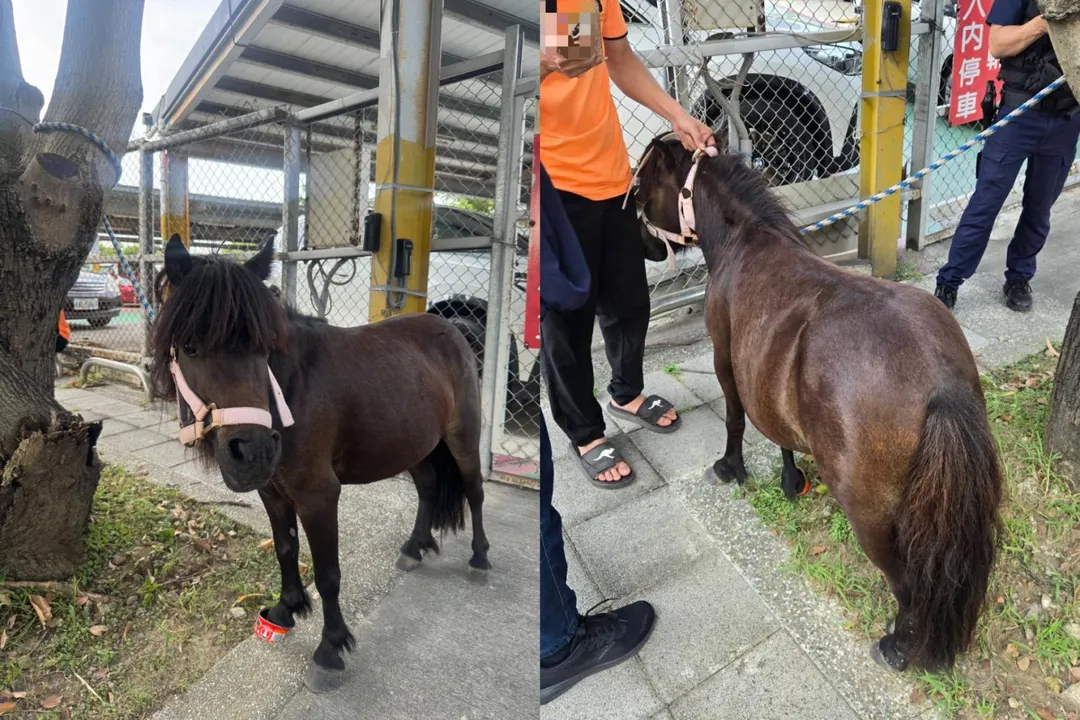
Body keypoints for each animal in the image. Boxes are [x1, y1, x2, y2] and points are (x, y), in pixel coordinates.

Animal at [149, 235, 491, 690]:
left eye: (264, 347)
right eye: (190, 347)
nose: (255, 452)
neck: (292, 388)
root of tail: (455, 329)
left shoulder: (318, 495)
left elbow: (328, 573)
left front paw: (331, 646)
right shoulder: (272, 491)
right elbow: (285, 549)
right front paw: (286, 609)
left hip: (462, 437)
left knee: (474, 491)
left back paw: (480, 558)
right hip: (412, 445)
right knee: (430, 485)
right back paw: (414, 547)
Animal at [631, 133, 1003, 672]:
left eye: (640, 184)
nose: (642, 244)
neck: (748, 239)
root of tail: (939, 381)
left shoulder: (724, 359)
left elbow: (736, 419)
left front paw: (730, 468)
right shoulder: (764, 374)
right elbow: (777, 429)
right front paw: (792, 481)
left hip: (872, 514)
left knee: (907, 583)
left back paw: (897, 646)